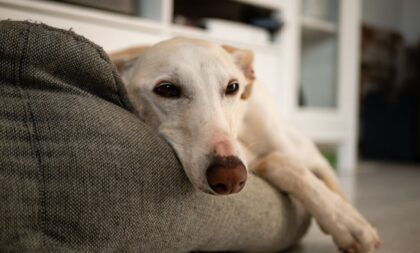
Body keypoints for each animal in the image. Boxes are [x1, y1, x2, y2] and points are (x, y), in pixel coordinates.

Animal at [110, 38, 382, 253]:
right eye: (166, 89)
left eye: (233, 87)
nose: (230, 177)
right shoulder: (249, 159)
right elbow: (278, 163)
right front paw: (345, 223)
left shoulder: (308, 158)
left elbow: (325, 184)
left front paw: (349, 222)